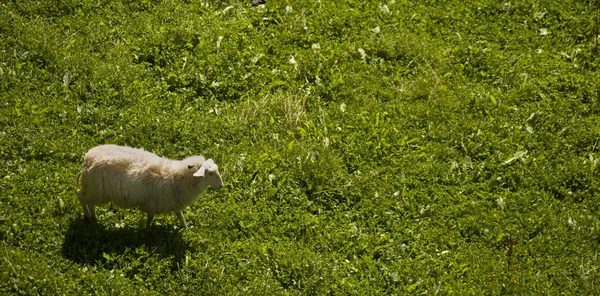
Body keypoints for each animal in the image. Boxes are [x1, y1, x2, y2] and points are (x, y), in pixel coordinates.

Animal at [75, 145, 223, 228]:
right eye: (210, 173)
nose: (221, 186)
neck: (175, 177)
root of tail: (88, 159)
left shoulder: (173, 202)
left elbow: (180, 216)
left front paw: (186, 229)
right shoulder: (154, 204)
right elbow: (150, 218)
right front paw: (146, 230)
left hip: (92, 189)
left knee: (84, 198)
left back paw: (92, 217)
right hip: (96, 190)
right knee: (82, 198)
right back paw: (90, 216)